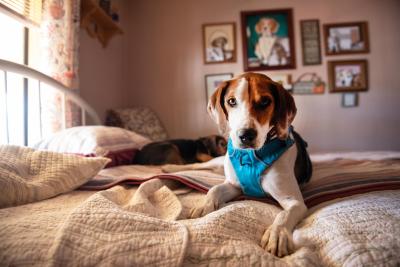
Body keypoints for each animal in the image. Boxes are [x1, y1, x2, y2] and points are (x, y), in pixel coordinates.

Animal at [162, 73, 312, 258]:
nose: (245, 135)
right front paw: (204, 205)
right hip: (219, 160)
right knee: (198, 165)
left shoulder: (295, 202)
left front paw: (277, 234)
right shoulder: (235, 186)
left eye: (265, 101)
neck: (250, 156)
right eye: (232, 101)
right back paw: (170, 168)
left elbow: (284, 214)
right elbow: (214, 190)